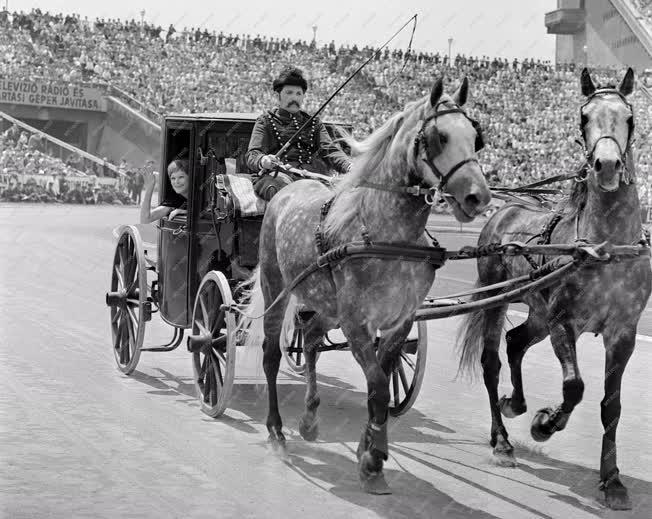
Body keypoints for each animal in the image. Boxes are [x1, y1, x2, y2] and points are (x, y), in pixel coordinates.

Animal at [242, 78, 492, 496]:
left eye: (476, 137)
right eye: (438, 137)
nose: (479, 197)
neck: (388, 234)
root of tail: (289, 188)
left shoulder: (399, 322)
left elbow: (384, 381)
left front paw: (369, 448)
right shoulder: (358, 323)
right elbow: (376, 386)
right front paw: (373, 459)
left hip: (326, 305)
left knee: (311, 338)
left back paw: (309, 419)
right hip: (278, 286)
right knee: (271, 355)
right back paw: (276, 431)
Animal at [456, 67, 648, 510]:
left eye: (630, 118)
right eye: (583, 117)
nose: (607, 166)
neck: (605, 247)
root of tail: (506, 208)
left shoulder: (624, 332)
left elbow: (611, 405)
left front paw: (612, 480)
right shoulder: (565, 321)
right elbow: (574, 387)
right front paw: (545, 423)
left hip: (538, 312)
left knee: (515, 342)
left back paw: (514, 404)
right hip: (499, 298)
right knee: (492, 361)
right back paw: (503, 441)